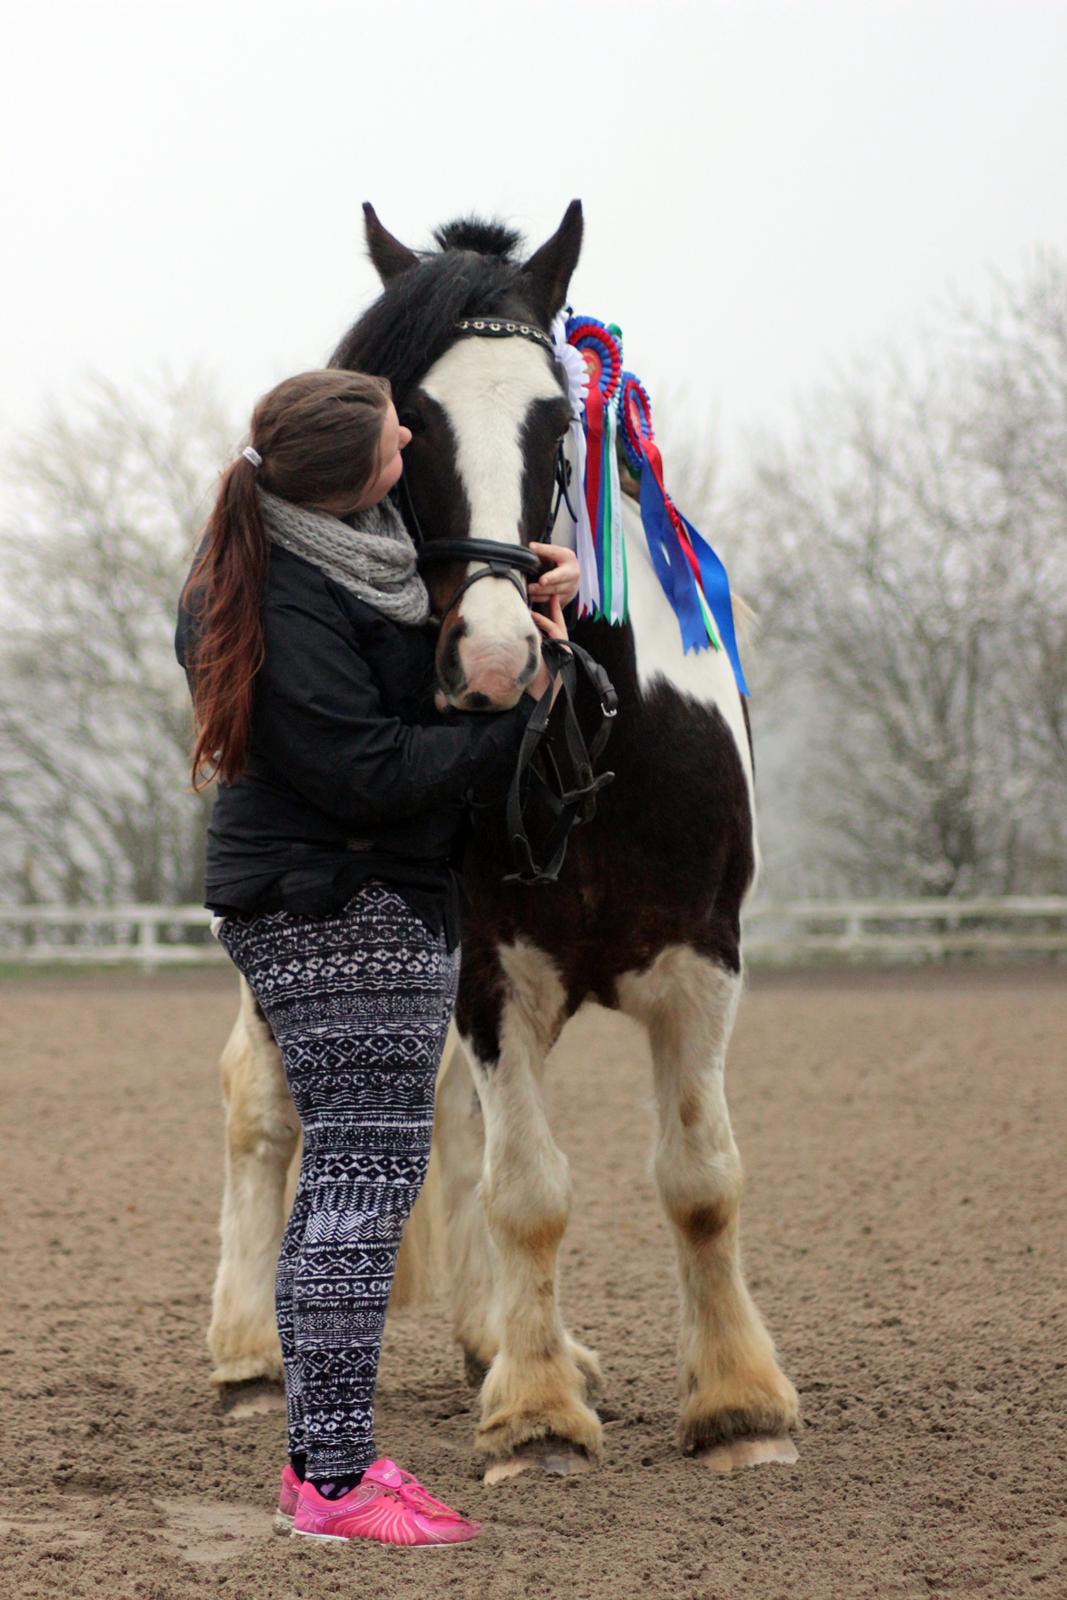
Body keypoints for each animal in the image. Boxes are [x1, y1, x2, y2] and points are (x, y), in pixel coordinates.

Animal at [204, 206, 796, 1478]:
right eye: (408, 418)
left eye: (557, 419)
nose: (489, 656)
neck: (587, 754)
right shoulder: (490, 971)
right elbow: (530, 1189)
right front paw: (536, 1418)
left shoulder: (702, 960)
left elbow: (699, 1179)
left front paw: (737, 1403)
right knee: (261, 1105)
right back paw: (249, 1358)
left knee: (456, 1133)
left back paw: (493, 1339)